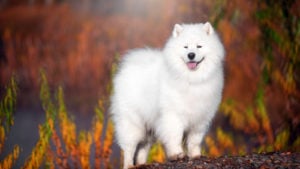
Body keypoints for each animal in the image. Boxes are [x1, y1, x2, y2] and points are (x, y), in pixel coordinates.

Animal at [111, 22, 224, 169]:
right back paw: (129, 164)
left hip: (148, 128)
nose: (191, 55)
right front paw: (177, 154)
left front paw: (195, 155)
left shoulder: (200, 118)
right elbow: (175, 136)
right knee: (129, 148)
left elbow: (194, 140)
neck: (191, 79)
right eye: (185, 47)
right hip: (132, 123)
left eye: (199, 46)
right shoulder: (173, 116)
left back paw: (142, 163)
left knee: (143, 148)